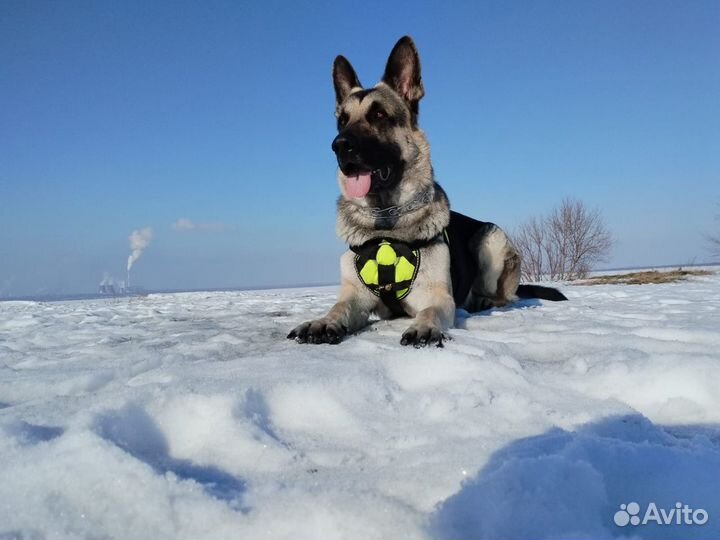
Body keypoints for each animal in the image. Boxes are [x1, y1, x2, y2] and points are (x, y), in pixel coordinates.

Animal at [286, 35, 564, 348]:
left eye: (378, 114)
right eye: (341, 120)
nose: (339, 145)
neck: (386, 220)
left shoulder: (436, 296)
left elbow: (430, 310)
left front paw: (424, 327)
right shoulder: (354, 296)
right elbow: (338, 307)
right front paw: (322, 322)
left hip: (491, 238)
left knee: (505, 297)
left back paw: (482, 301)